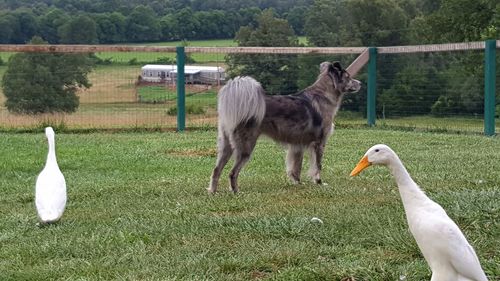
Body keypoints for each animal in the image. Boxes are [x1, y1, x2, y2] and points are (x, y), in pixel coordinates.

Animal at [209, 61, 362, 192]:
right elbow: (318, 166)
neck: (323, 95)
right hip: (245, 146)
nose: (360, 83)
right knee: (232, 172)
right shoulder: (319, 143)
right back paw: (236, 191)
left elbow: (296, 167)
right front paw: (319, 182)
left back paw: (213, 192)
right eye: (348, 77)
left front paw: (298, 183)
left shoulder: (298, 144)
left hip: (226, 146)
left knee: (216, 170)